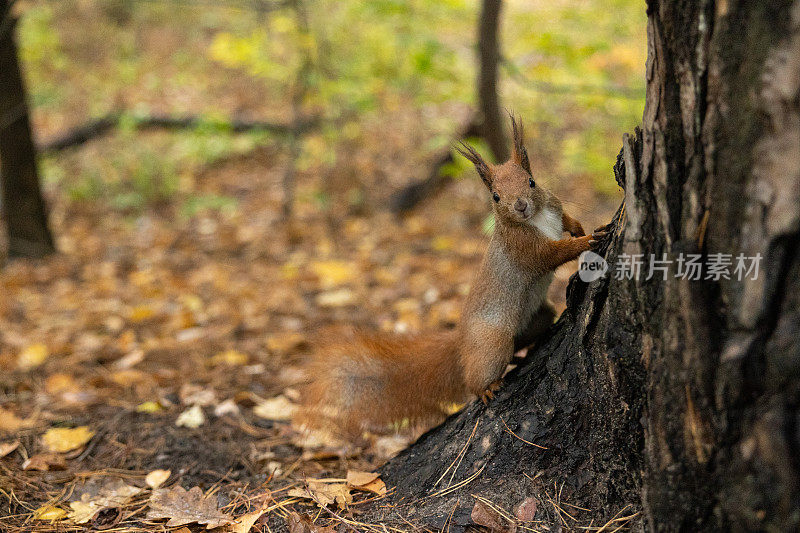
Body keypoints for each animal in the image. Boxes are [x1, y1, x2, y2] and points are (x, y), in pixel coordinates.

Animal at [296, 113, 608, 436]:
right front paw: (588, 240)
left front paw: (579, 228)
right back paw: (487, 387)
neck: (537, 217)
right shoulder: (525, 249)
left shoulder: (553, 205)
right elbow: (553, 254)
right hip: (491, 343)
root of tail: (461, 341)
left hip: (538, 316)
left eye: (531, 182)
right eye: (496, 197)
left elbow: (566, 220)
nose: (520, 205)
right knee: (476, 375)